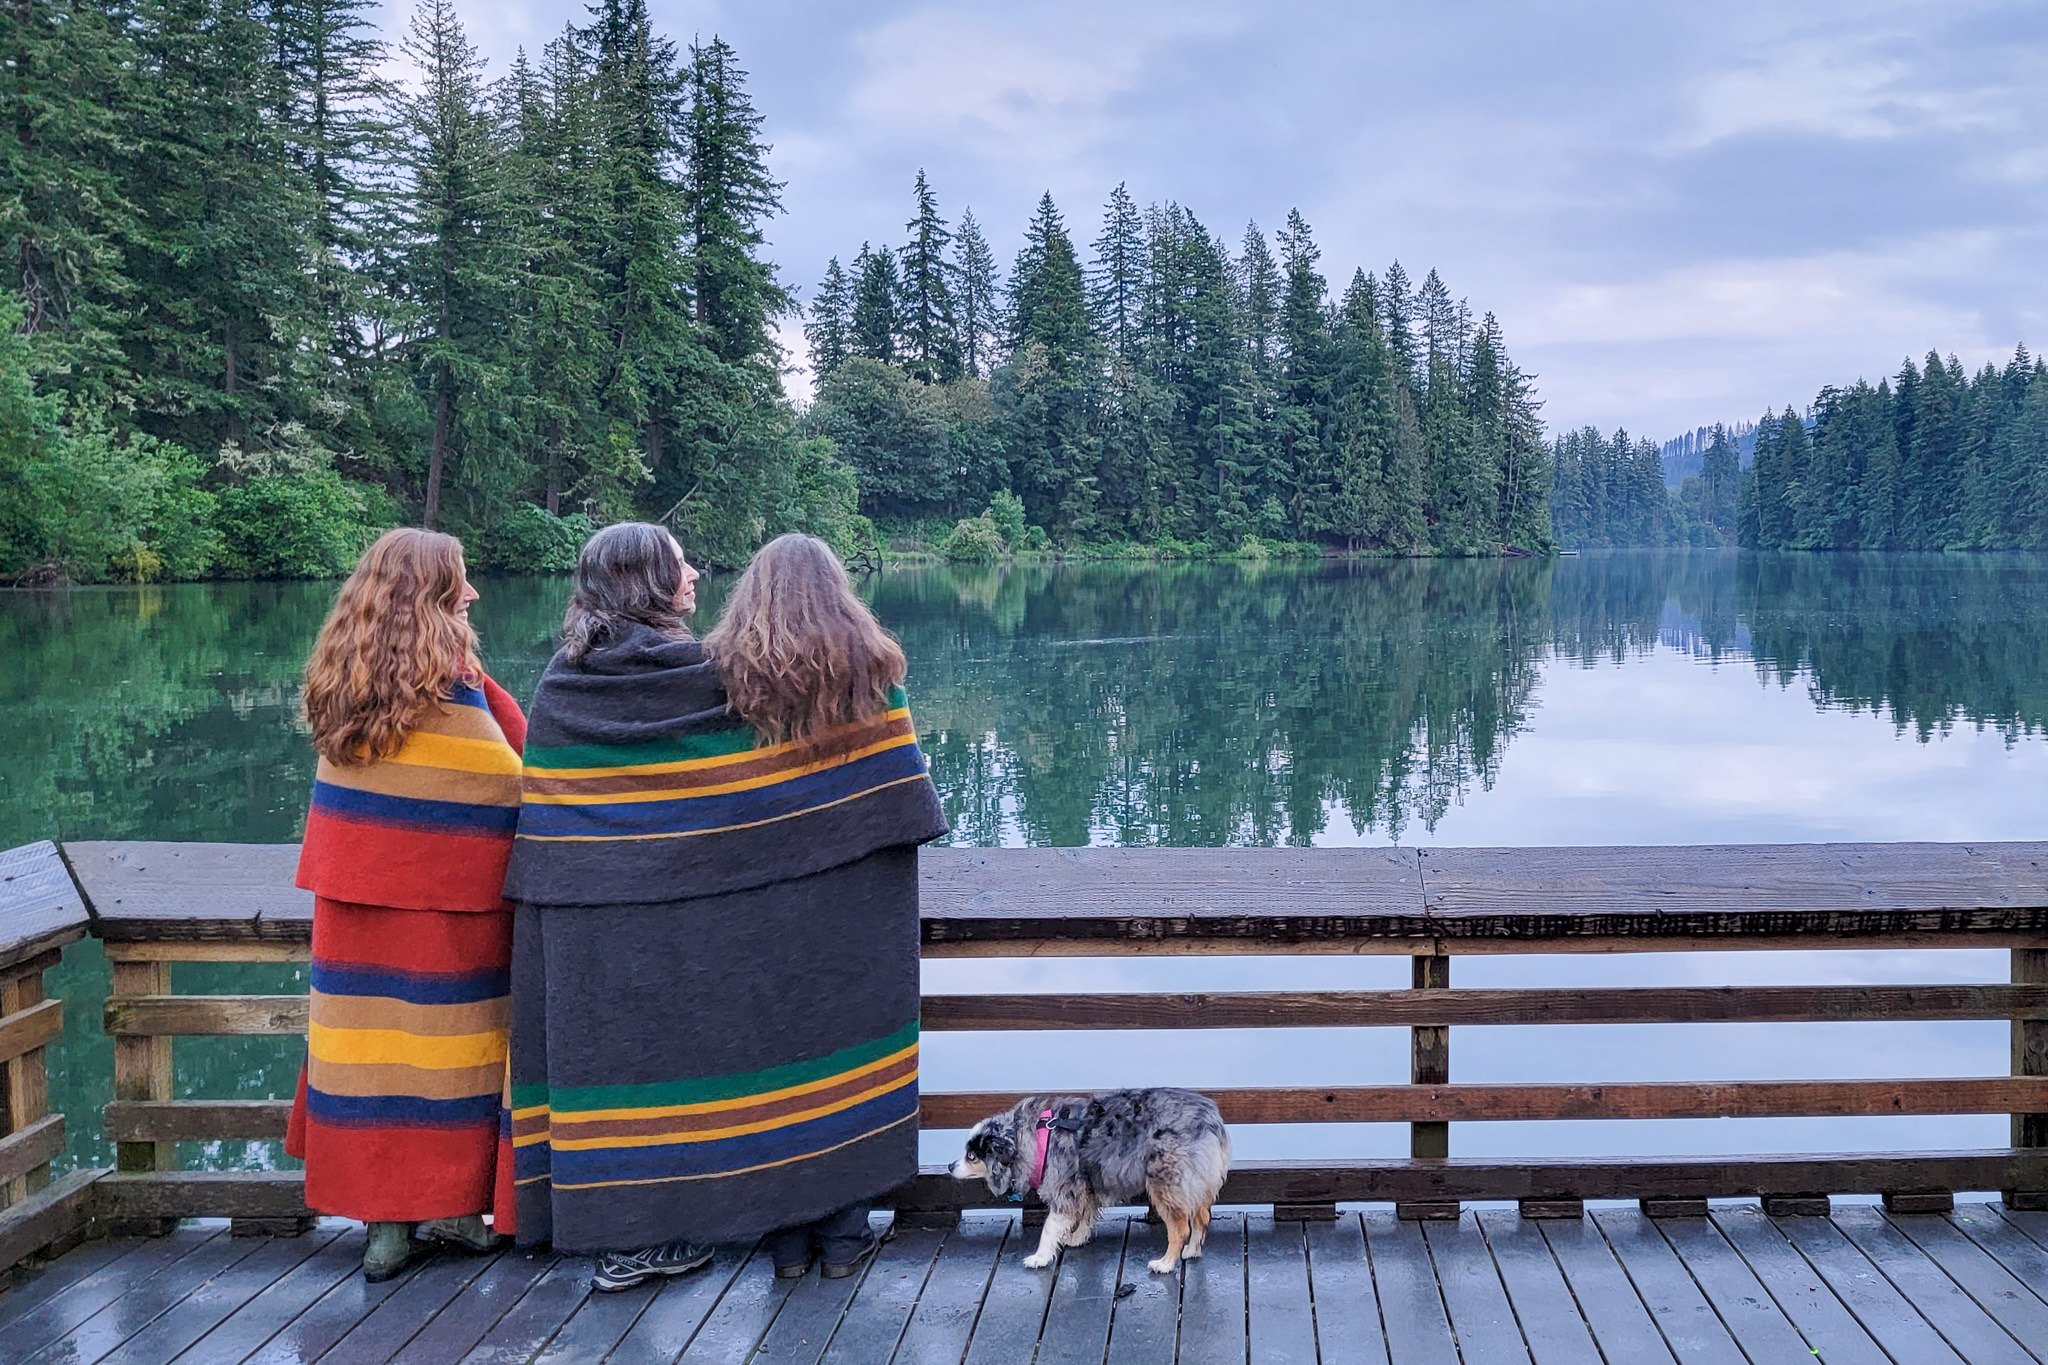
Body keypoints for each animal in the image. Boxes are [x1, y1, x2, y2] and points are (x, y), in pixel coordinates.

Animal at [946, 1088, 1220, 1268]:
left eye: (971, 1156)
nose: (949, 1165)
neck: (1034, 1137)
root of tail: (1211, 1120)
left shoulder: (1063, 1187)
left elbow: (1050, 1227)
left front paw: (1040, 1257)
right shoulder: (1085, 1183)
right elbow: (1087, 1213)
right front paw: (1077, 1238)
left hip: (1166, 1184)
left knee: (1180, 1228)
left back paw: (1165, 1263)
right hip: (1195, 1181)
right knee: (1202, 1217)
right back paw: (1192, 1251)